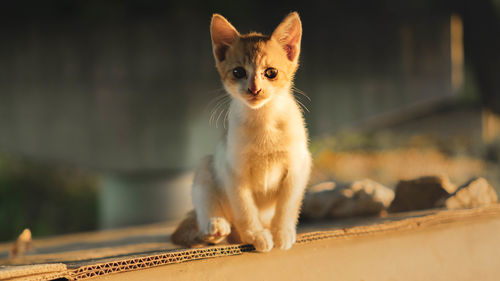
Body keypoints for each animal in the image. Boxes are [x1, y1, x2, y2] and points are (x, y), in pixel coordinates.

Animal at [174, 12, 310, 252]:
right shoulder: (233, 171)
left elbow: (287, 204)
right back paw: (216, 227)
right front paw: (256, 235)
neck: (263, 121)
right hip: (207, 166)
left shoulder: (298, 165)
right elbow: (245, 209)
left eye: (271, 73)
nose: (254, 89)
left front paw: (282, 231)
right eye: (238, 72)